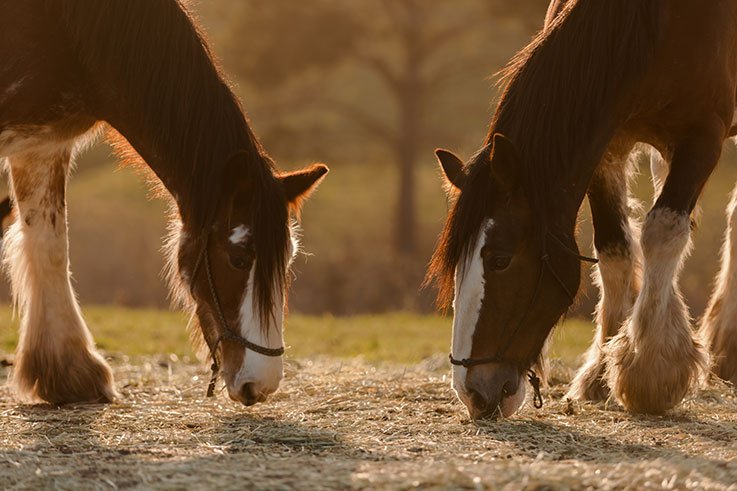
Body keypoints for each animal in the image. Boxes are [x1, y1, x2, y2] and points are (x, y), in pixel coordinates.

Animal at [0, 0, 328, 408]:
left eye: (288, 259)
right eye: (238, 258)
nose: (261, 384)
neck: (62, 29)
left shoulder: (42, 146)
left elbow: (51, 249)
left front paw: (69, 372)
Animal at [426, 0, 736, 422]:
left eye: (501, 259)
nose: (472, 392)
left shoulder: (702, 137)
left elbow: (662, 232)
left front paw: (649, 370)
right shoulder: (608, 146)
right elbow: (614, 250)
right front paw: (603, 371)